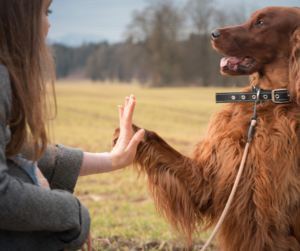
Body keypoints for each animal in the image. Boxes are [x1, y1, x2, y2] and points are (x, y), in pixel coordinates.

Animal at [112, 6, 300, 251]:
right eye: (251, 18)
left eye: (261, 23)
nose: (213, 33)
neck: (265, 101)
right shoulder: (210, 180)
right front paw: (129, 133)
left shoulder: (271, 212)